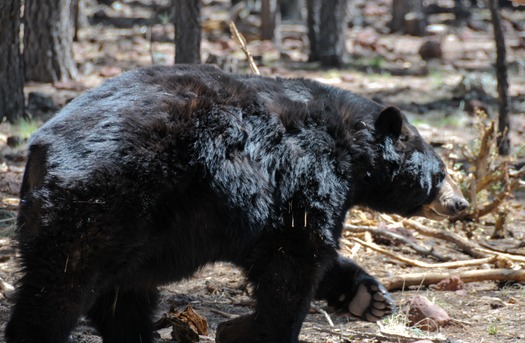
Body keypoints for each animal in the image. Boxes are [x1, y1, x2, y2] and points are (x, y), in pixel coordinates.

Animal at [5, 65, 466, 343]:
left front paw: (366, 296)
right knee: (62, 286)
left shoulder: (260, 209)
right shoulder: (305, 172)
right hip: (101, 201)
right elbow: (296, 258)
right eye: (441, 172)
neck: (351, 148)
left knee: (123, 297)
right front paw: (255, 329)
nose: (460, 203)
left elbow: (288, 252)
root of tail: (38, 150)